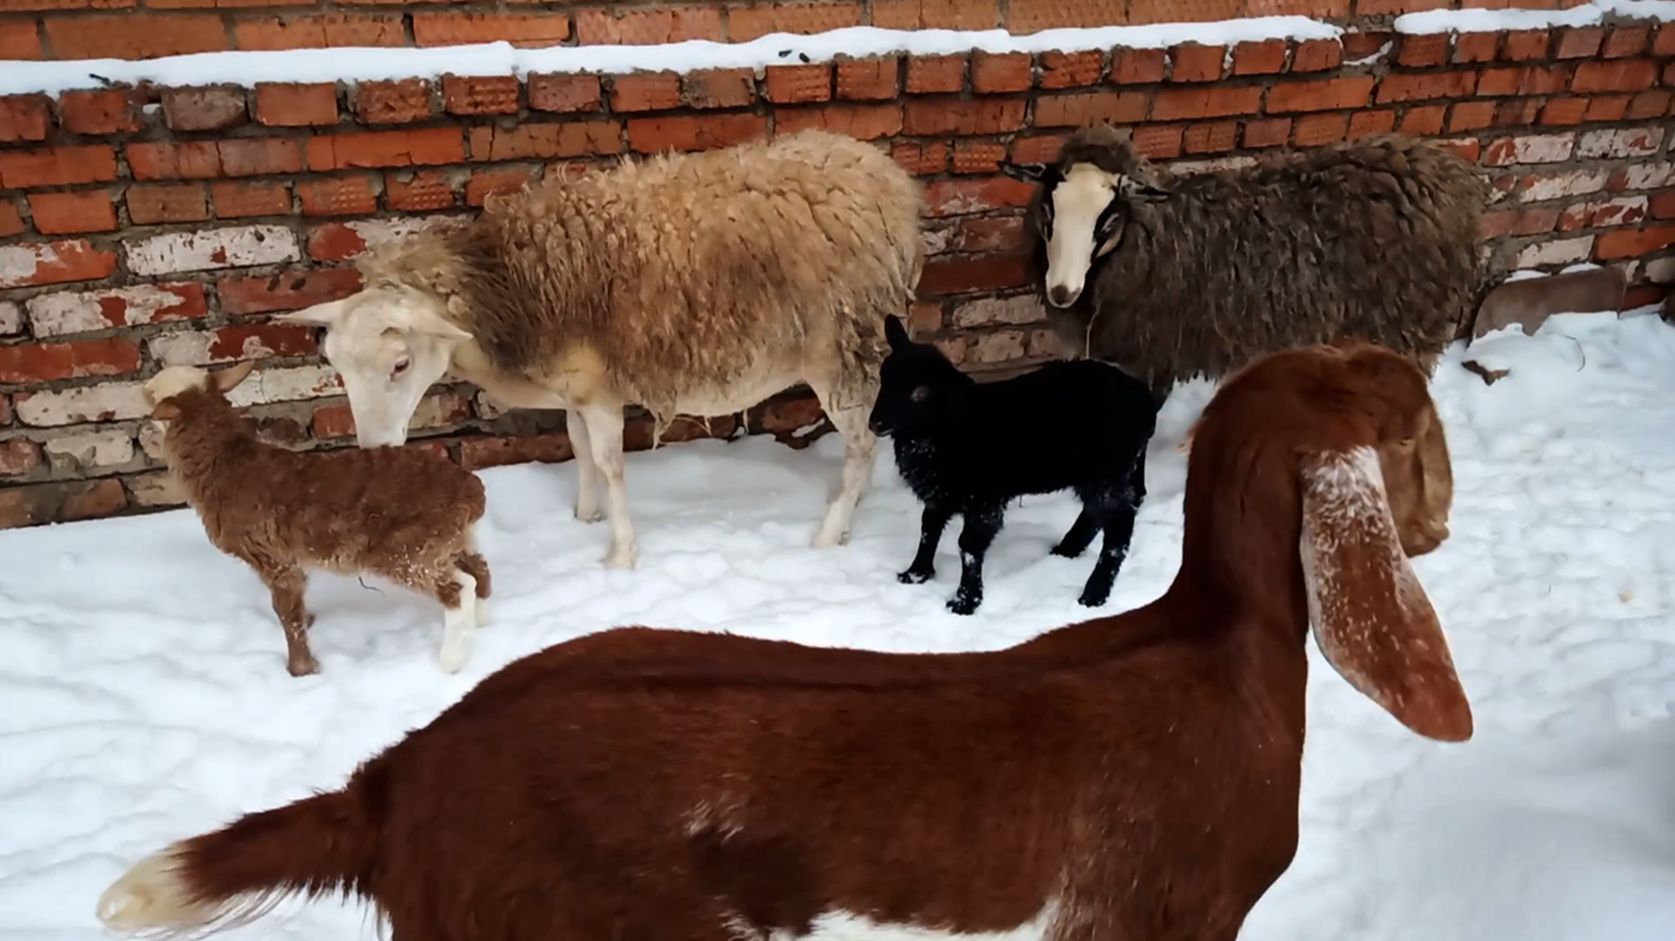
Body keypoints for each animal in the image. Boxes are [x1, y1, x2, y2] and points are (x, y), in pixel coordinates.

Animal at [142, 362, 491, 677]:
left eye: (149, 396)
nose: (142, 390)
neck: (225, 462)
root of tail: (471, 492)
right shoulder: (291, 560)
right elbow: (295, 606)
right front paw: (310, 625)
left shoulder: (272, 558)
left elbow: (287, 616)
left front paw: (301, 670)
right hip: (449, 539)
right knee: (479, 569)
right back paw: (481, 623)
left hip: (407, 550)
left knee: (459, 588)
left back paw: (452, 661)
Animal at [277, 128, 924, 571]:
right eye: (336, 369)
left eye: (401, 364)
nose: (374, 454)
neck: (508, 283)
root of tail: (889, 178)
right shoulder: (577, 387)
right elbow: (580, 451)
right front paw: (582, 517)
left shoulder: (602, 393)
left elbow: (612, 467)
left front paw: (619, 555)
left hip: (839, 348)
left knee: (862, 443)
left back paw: (829, 532)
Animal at [867, 315, 1158, 614]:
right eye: (883, 379)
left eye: (920, 392)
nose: (875, 423)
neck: (947, 428)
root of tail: (1146, 402)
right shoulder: (940, 495)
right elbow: (928, 530)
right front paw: (916, 574)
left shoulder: (984, 500)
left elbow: (968, 547)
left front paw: (965, 601)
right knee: (1094, 513)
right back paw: (1066, 551)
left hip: (1107, 470)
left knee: (1120, 524)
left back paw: (1094, 594)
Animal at [1000, 125, 1489, 398]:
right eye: (1049, 211)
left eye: (1109, 220)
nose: (1062, 292)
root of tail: (1448, 176)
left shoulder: (1153, 355)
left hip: (1406, 325)